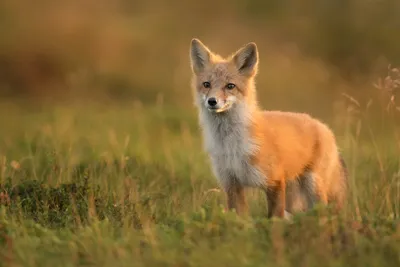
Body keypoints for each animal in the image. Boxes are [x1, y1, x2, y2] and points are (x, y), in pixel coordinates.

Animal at [189, 38, 348, 221]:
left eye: (230, 86)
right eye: (206, 84)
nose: (212, 101)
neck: (231, 145)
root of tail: (324, 127)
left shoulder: (275, 181)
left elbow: (274, 218)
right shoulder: (232, 184)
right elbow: (240, 219)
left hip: (313, 186)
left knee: (321, 213)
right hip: (294, 196)